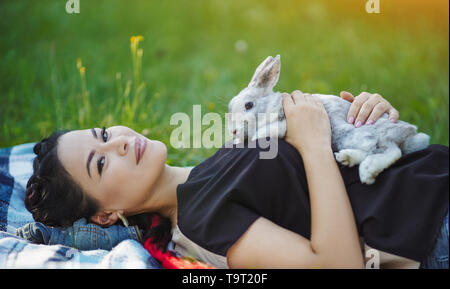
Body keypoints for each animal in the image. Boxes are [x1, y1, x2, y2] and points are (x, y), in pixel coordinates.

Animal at [229, 55, 428, 183]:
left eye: (249, 105)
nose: (234, 131)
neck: (272, 105)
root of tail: (410, 134)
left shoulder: (284, 121)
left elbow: (273, 128)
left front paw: (257, 136)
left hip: (354, 133)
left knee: (390, 151)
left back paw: (366, 170)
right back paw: (348, 159)